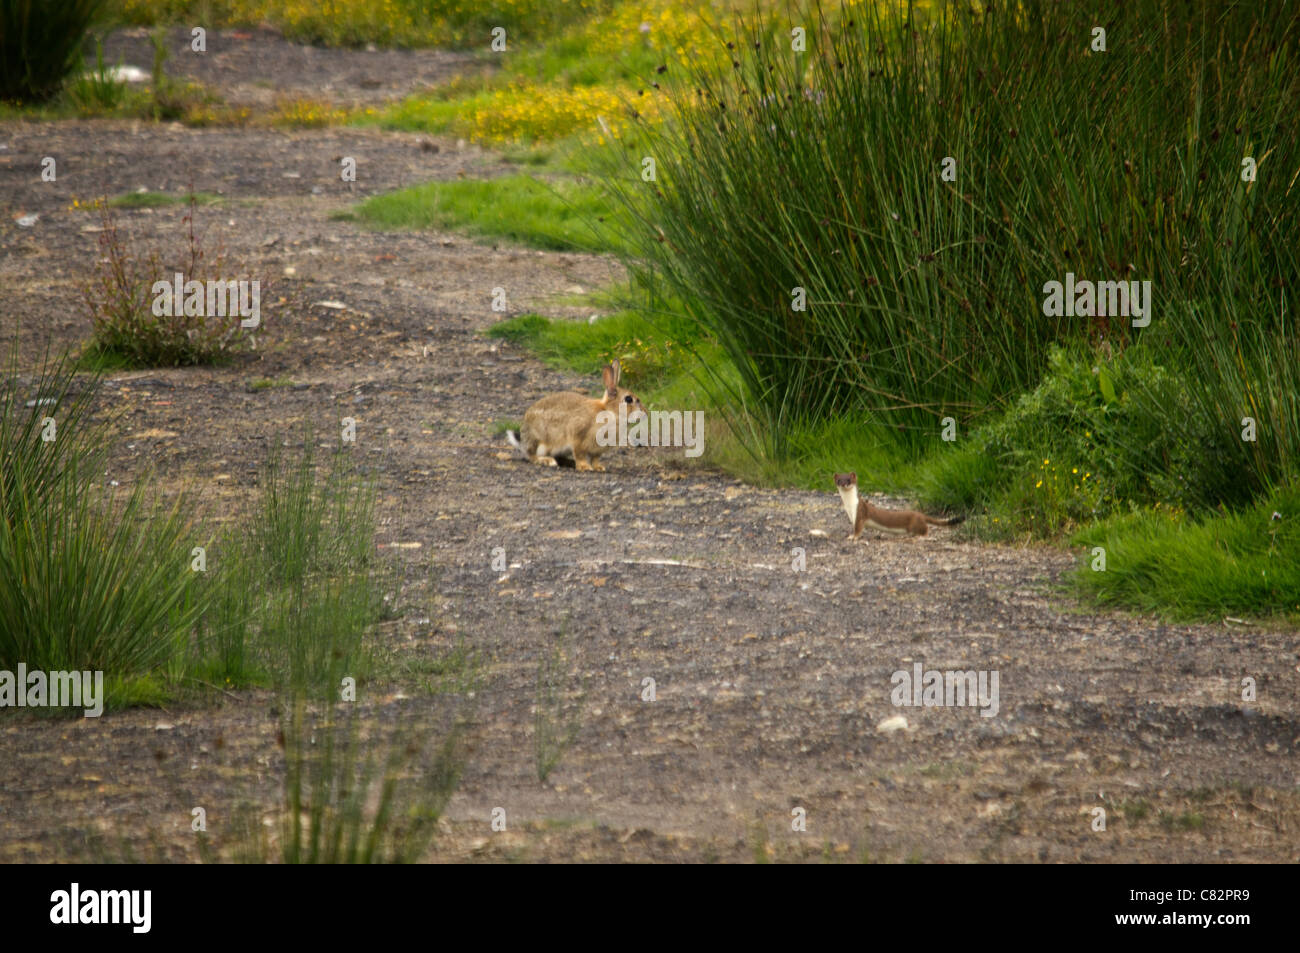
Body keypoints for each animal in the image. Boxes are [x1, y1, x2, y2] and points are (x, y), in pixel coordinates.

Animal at [505, 360, 647, 471]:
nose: (645, 413)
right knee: (532, 455)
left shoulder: (598, 450)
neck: (609, 411)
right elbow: (580, 455)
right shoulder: (578, 439)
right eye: (628, 399)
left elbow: (595, 459)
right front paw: (585, 467)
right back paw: (547, 461)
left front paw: (599, 467)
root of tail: (523, 439)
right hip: (540, 441)